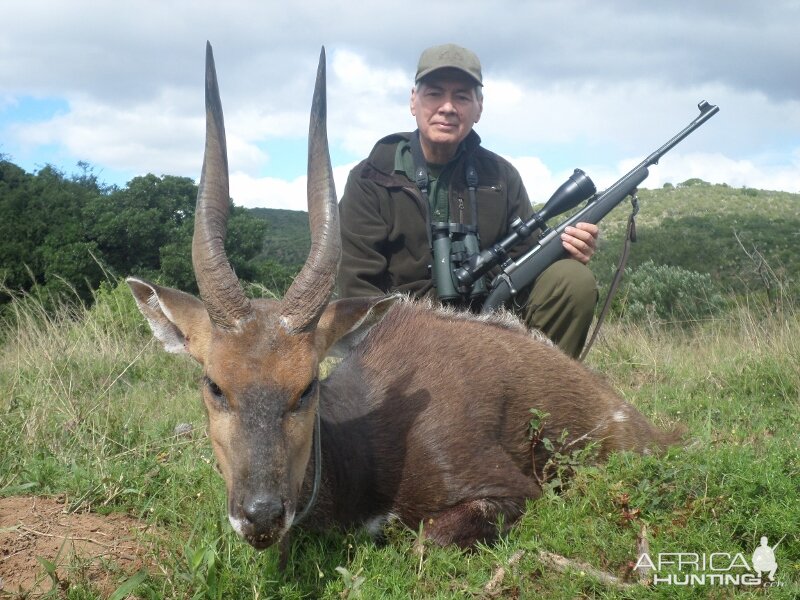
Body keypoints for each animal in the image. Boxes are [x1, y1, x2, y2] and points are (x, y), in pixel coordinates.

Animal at [126, 44, 680, 552]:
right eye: (214, 385)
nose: (261, 515)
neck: (365, 447)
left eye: (307, 387)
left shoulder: (510, 491)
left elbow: (422, 542)